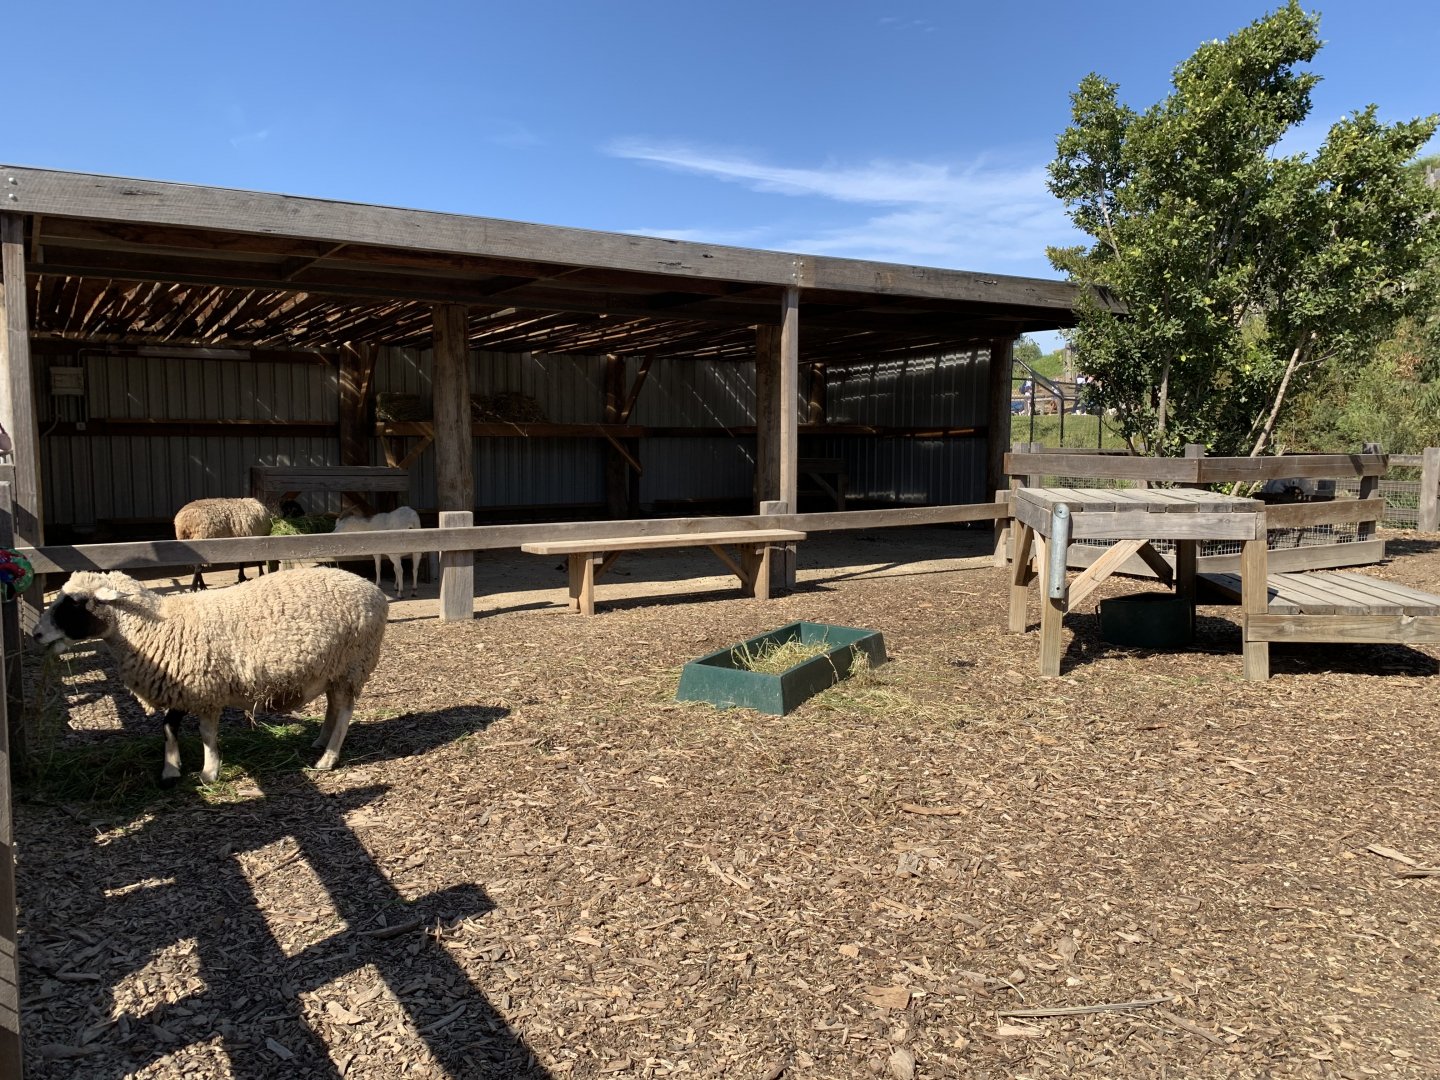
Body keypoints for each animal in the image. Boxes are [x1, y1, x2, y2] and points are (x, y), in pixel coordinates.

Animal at [32, 567, 388, 785]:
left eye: (75, 603)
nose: (36, 634)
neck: (158, 624)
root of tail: (374, 591)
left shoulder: (205, 690)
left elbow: (206, 734)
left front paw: (209, 771)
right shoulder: (181, 687)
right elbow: (168, 727)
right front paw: (171, 769)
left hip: (353, 663)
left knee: (344, 711)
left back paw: (328, 758)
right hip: (333, 668)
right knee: (332, 706)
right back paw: (320, 740)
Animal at [174, 497, 304, 591]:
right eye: (295, 508)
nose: (304, 514)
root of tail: (183, 522)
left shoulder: (243, 541)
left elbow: (242, 563)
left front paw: (242, 577)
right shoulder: (254, 539)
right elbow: (257, 561)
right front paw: (259, 574)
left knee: (198, 566)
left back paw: (202, 586)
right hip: (201, 540)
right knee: (198, 567)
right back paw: (194, 587)